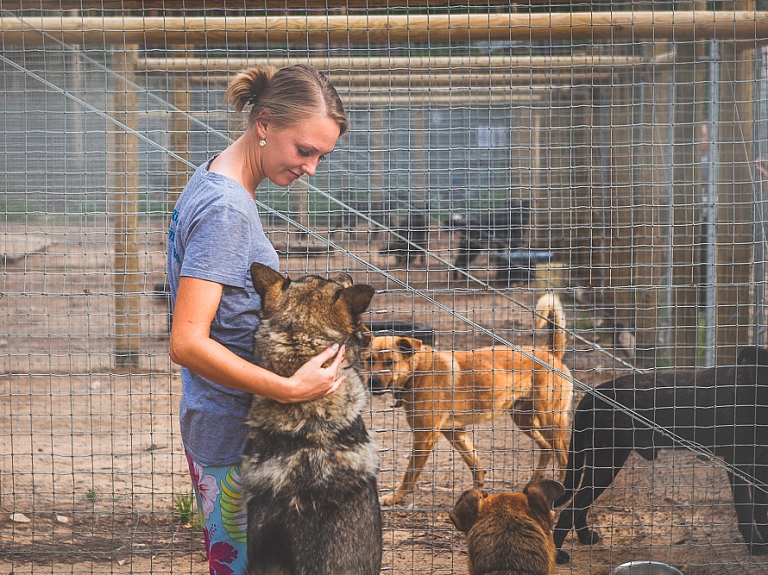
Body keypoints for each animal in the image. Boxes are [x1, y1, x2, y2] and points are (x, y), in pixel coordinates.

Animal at [364, 294, 568, 506]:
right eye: (369, 360)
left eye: (390, 362)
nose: (372, 381)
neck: (417, 371)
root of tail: (550, 352)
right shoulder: (455, 431)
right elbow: (475, 463)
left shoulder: (424, 436)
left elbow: (409, 474)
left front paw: (395, 497)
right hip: (524, 420)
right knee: (546, 449)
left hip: (550, 420)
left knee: (564, 457)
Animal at [552, 344, 768, 564]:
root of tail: (593, 395)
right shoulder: (738, 462)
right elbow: (745, 507)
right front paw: (756, 545)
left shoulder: (760, 463)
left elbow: (760, 508)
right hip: (606, 463)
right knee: (570, 510)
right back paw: (558, 554)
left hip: (602, 464)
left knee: (579, 506)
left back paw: (585, 537)